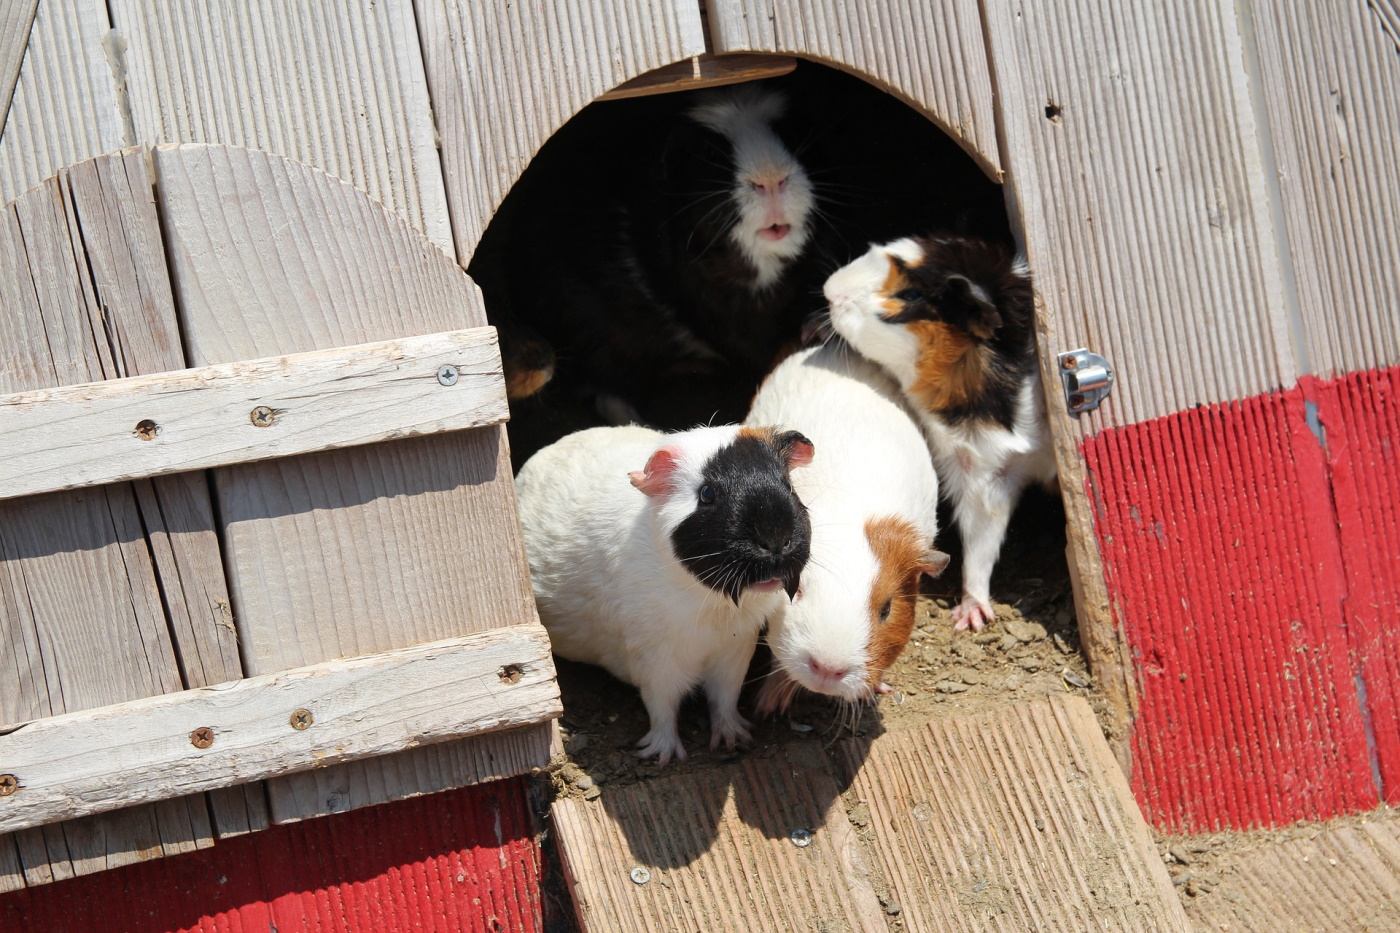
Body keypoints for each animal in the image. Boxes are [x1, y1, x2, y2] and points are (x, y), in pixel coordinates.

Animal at [515, 423, 814, 764]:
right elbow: (662, 708)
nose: (776, 541)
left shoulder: (735, 652)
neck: (714, 608)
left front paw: (734, 739)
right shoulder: (656, 661)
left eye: (787, 484)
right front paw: (664, 755)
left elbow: (725, 699)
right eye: (707, 494)